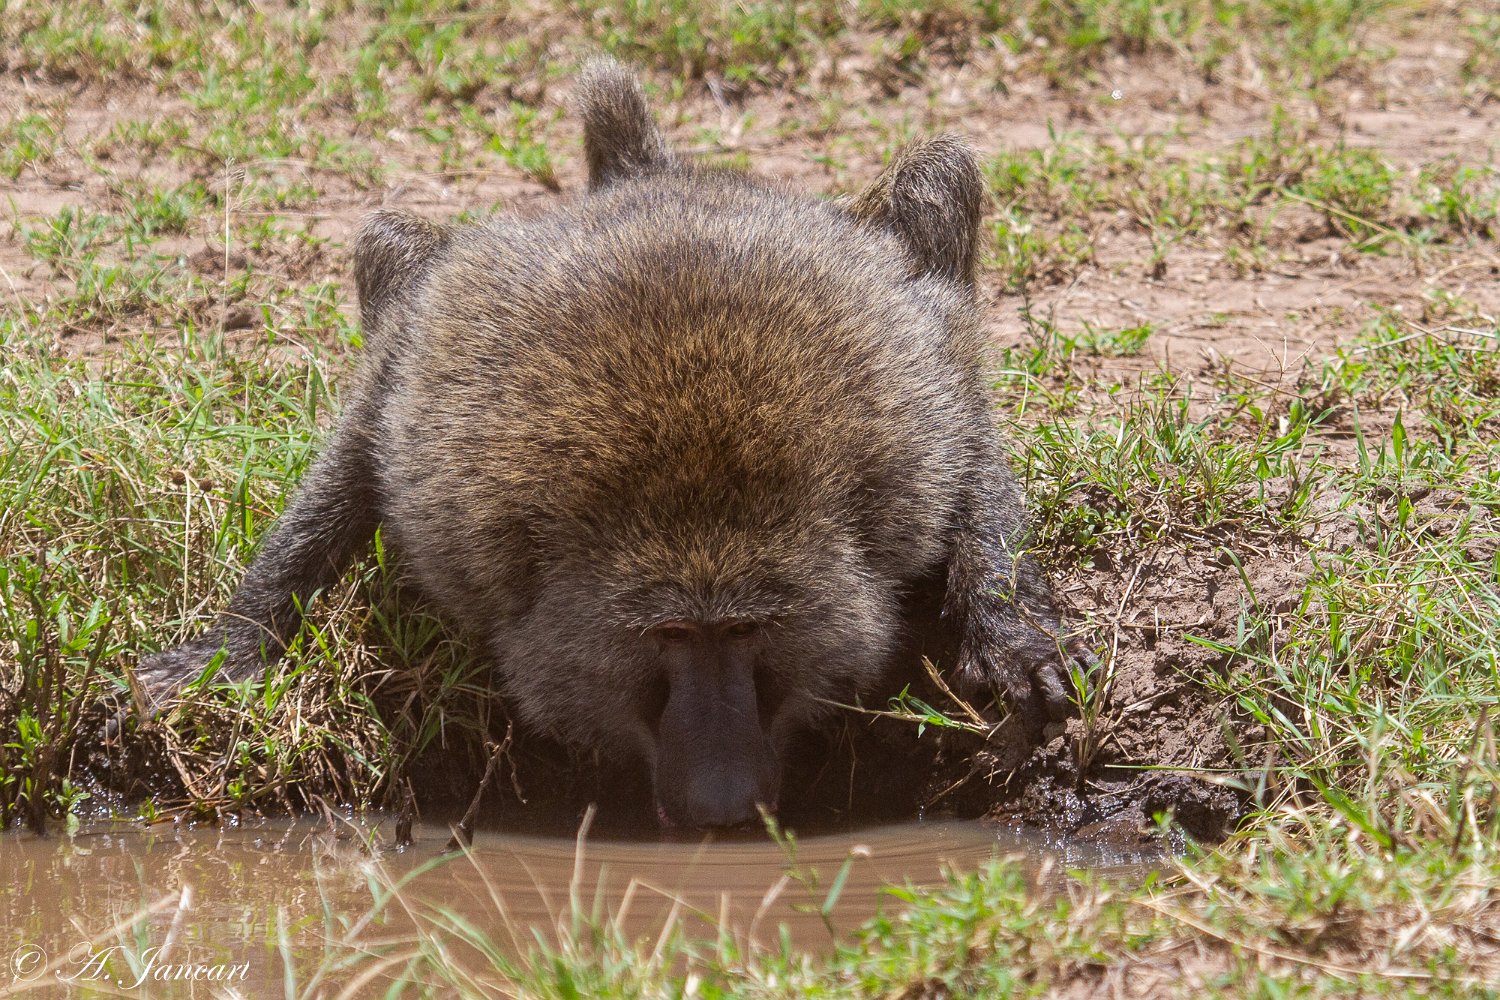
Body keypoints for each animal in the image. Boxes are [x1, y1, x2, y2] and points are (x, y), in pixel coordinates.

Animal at [140, 60, 1079, 829]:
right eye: (670, 635)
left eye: (745, 631)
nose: (722, 801)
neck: (692, 479)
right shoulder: (432, 443)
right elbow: (360, 439)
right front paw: (231, 649)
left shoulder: (913, 434)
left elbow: (969, 418)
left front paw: (1010, 633)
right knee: (391, 247)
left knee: (937, 182)